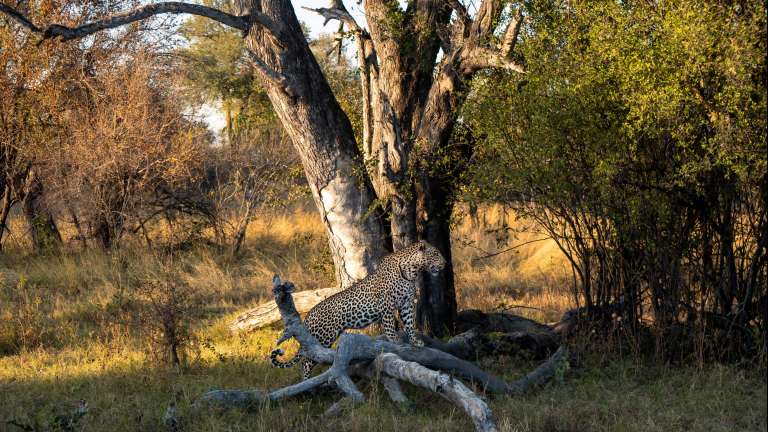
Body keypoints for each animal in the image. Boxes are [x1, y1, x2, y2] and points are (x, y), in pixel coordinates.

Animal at [270, 240, 446, 380]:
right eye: (436, 253)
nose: (445, 264)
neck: (412, 272)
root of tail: (308, 317)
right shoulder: (387, 306)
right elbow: (390, 328)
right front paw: (396, 342)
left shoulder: (407, 303)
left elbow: (409, 324)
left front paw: (415, 341)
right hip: (324, 336)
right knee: (306, 361)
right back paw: (306, 380)